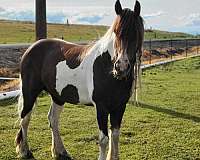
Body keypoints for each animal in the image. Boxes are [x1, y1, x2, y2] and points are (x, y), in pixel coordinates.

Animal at [15, 0, 144, 159]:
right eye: (116, 32)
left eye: (136, 33)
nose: (121, 67)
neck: (106, 67)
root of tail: (31, 48)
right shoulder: (101, 107)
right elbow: (104, 139)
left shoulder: (119, 107)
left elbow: (115, 135)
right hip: (30, 93)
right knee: (25, 119)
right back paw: (24, 150)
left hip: (58, 96)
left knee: (53, 120)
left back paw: (60, 151)